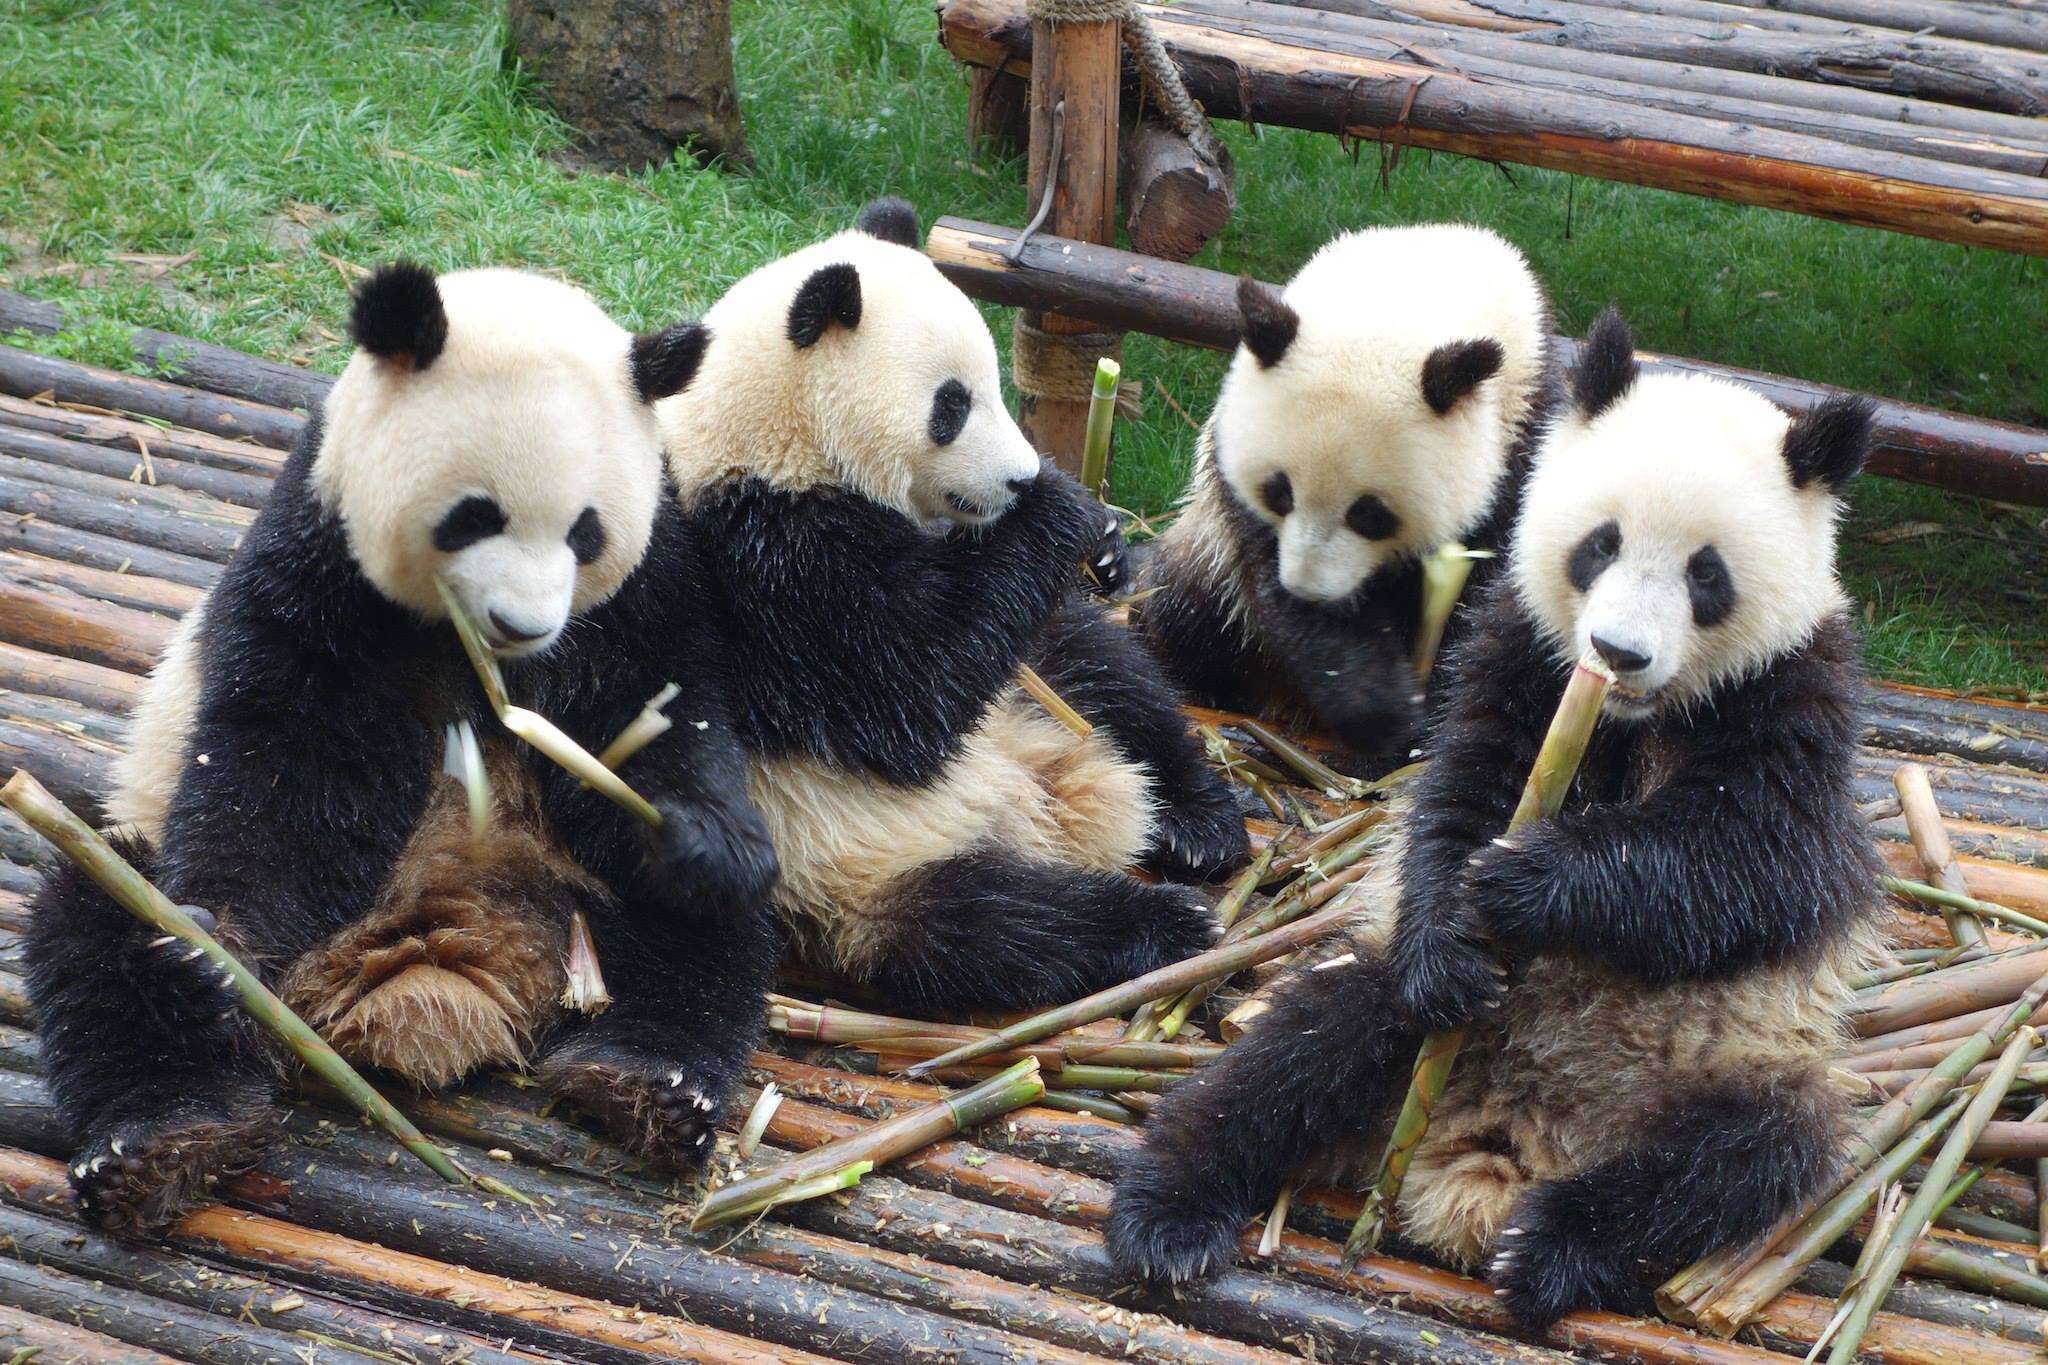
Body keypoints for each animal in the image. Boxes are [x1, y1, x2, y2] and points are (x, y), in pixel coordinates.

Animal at [27, 263, 781, 1236]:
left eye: (586, 532)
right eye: (474, 516)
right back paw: (163, 1134)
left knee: (698, 942)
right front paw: (217, 945)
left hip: (576, 894)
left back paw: (647, 1083)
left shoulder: (648, 582)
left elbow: (669, 713)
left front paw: (696, 838)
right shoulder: (320, 560)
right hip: (166, 866)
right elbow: (283, 762)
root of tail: (448, 962)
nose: (523, 625)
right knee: (98, 921)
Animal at [655, 198, 1248, 1013]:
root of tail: (1048, 797)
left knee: (1108, 676)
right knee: (998, 927)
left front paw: (1100, 542)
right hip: (855, 864)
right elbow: (904, 694)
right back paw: (1169, 920)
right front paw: (1059, 507)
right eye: (952, 405)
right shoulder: (766, 560)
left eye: (997, 384)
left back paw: (1202, 822)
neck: (777, 438)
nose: (1020, 478)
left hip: (1031, 695)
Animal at [1107, 307, 1883, 1328]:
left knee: (1746, 1156)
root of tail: (1502, 1132)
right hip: (1390, 1004)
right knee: (1307, 1042)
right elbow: (1461, 792)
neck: (1632, 717)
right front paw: (1466, 919)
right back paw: (1168, 1209)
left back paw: (1550, 1246)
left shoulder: (1795, 692)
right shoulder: (1524, 648)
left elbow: (1760, 861)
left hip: (1742, 1060)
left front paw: (1533, 878)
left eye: (1706, 574)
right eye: (1599, 544)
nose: (1617, 651)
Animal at [1134, 224, 1557, 768]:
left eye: (1371, 515)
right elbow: (1270, 576)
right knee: (1190, 603)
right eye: (1279, 493)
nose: (1310, 590)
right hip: (1203, 549)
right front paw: (1376, 712)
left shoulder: (1524, 440)